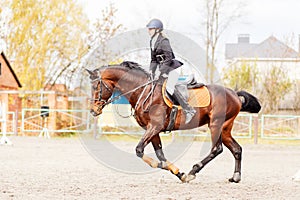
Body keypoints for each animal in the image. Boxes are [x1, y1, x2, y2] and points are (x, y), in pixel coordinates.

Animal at [86, 61, 260, 184]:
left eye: (96, 86)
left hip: (216, 125)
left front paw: (174, 171)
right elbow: (160, 155)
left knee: (217, 149)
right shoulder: (152, 130)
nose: (93, 110)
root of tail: (234, 94)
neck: (143, 90)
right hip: (225, 128)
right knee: (236, 149)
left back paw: (193, 172)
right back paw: (235, 177)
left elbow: (139, 150)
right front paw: (178, 173)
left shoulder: (154, 126)